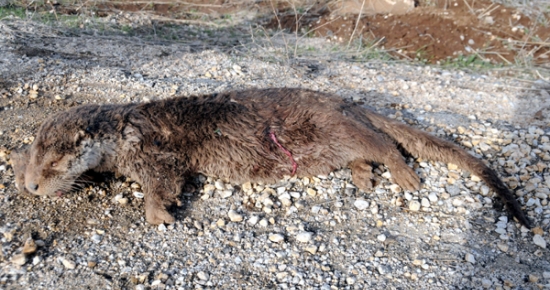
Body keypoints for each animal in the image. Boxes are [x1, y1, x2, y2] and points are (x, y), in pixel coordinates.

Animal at [23, 87, 532, 228]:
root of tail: (344, 102)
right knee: (362, 154)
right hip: (334, 143)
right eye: (29, 164)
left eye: (50, 166)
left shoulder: (157, 154)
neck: (126, 132)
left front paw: (158, 214)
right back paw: (364, 179)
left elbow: (164, 182)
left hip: (341, 128)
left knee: (385, 145)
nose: (30, 187)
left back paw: (404, 176)